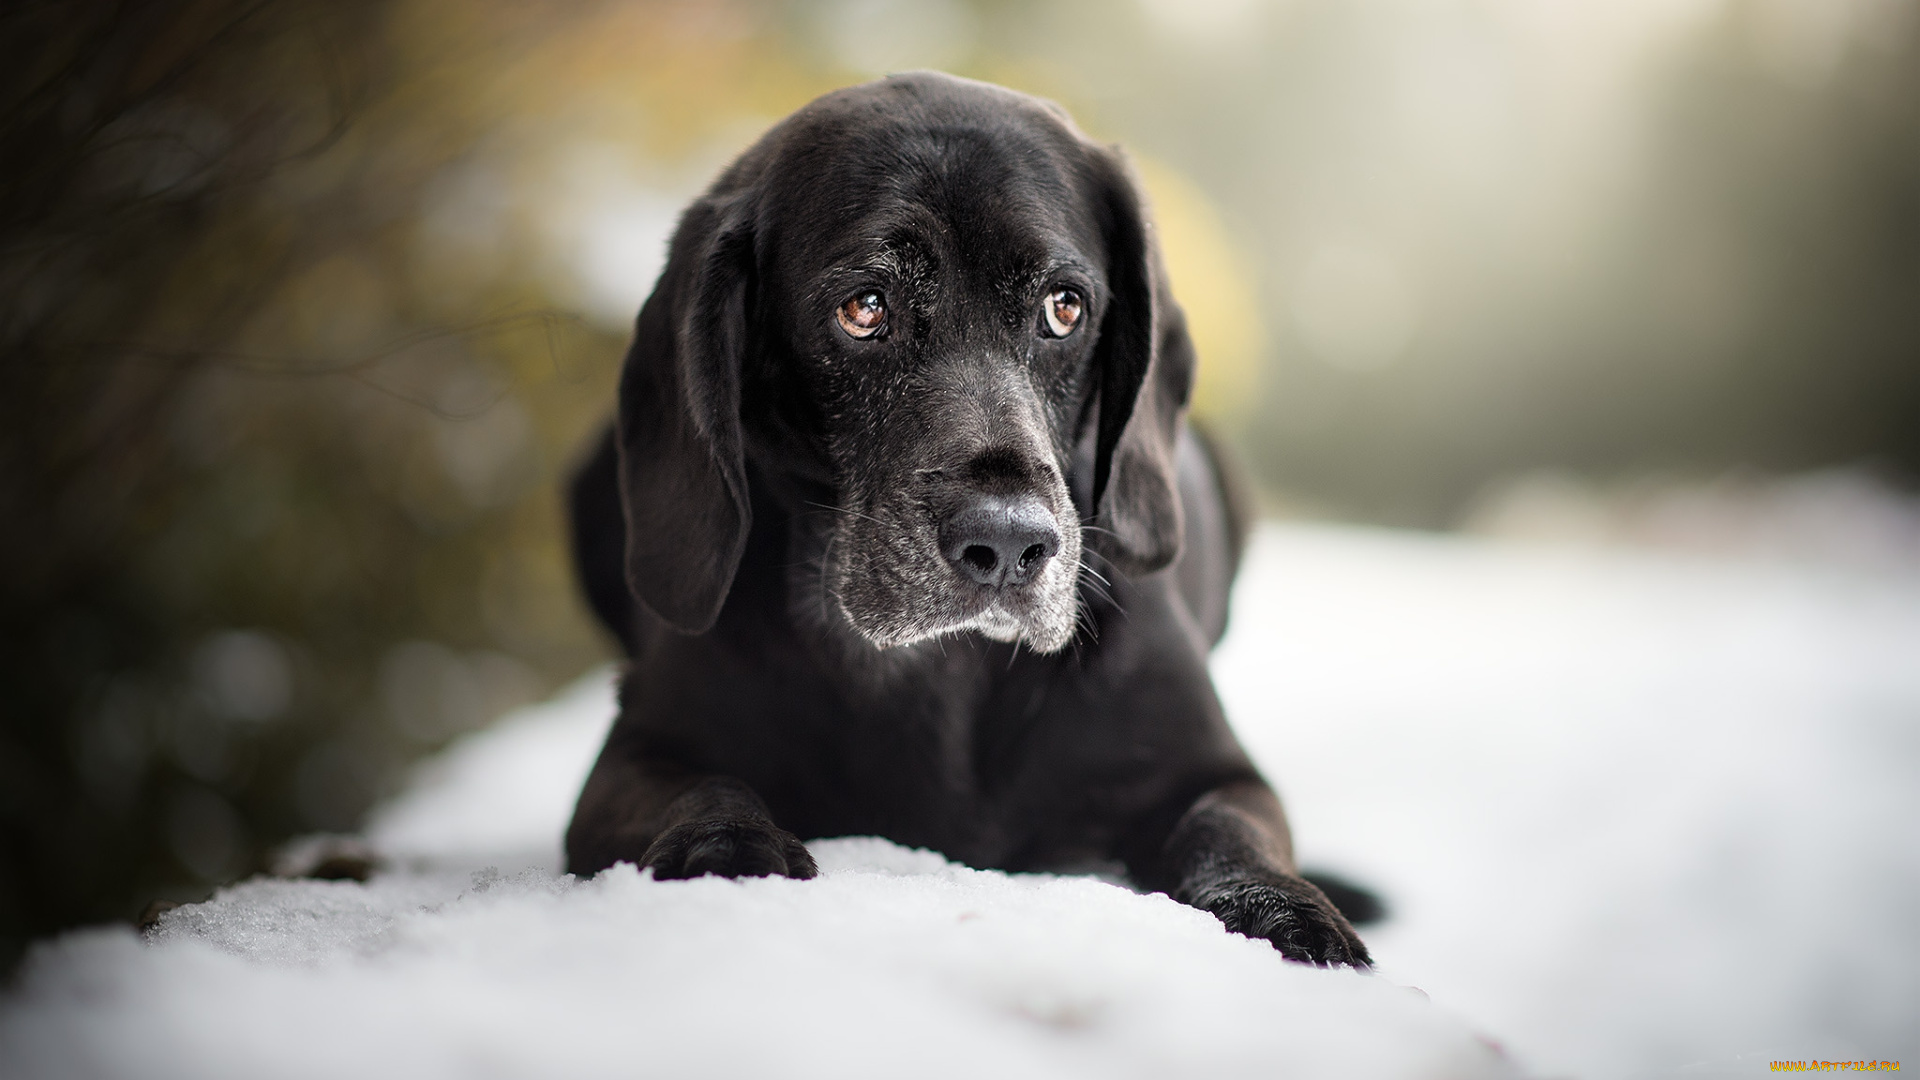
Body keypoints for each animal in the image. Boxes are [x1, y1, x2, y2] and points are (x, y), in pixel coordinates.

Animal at [560, 75, 1374, 968]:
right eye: (863, 308)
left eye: (1065, 307)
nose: (1011, 544)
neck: (941, 673)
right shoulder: (638, 756)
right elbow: (706, 788)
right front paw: (729, 851)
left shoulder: (1217, 772)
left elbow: (1229, 831)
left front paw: (1288, 910)